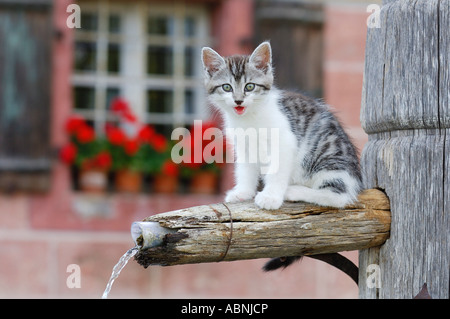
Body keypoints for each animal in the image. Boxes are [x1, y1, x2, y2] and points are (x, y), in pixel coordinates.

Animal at [200, 42, 362, 212]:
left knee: (338, 196)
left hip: (329, 159)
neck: (249, 118)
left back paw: (293, 191)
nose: (238, 101)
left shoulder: (285, 141)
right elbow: (245, 170)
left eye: (249, 87)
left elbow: (277, 171)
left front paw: (270, 197)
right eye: (227, 87)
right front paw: (242, 192)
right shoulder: (243, 146)